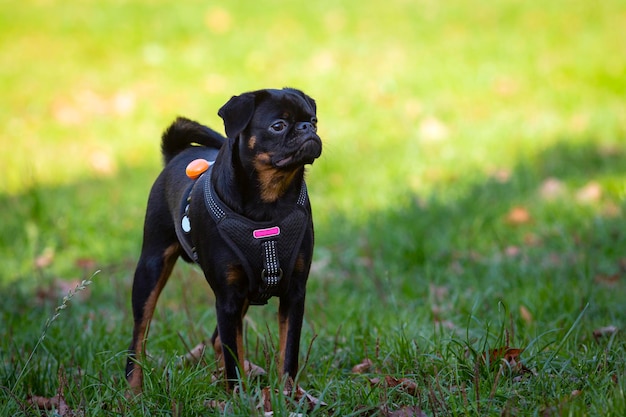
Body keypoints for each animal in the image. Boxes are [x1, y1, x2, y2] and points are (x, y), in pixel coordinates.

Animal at [125, 87, 322, 390]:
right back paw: (132, 391)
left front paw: (287, 394)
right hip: (151, 267)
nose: (306, 128)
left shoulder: (294, 292)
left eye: (313, 121)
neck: (269, 203)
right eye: (278, 126)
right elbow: (233, 354)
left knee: (217, 340)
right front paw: (238, 395)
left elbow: (288, 352)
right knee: (139, 336)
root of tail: (177, 155)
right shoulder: (228, 297)